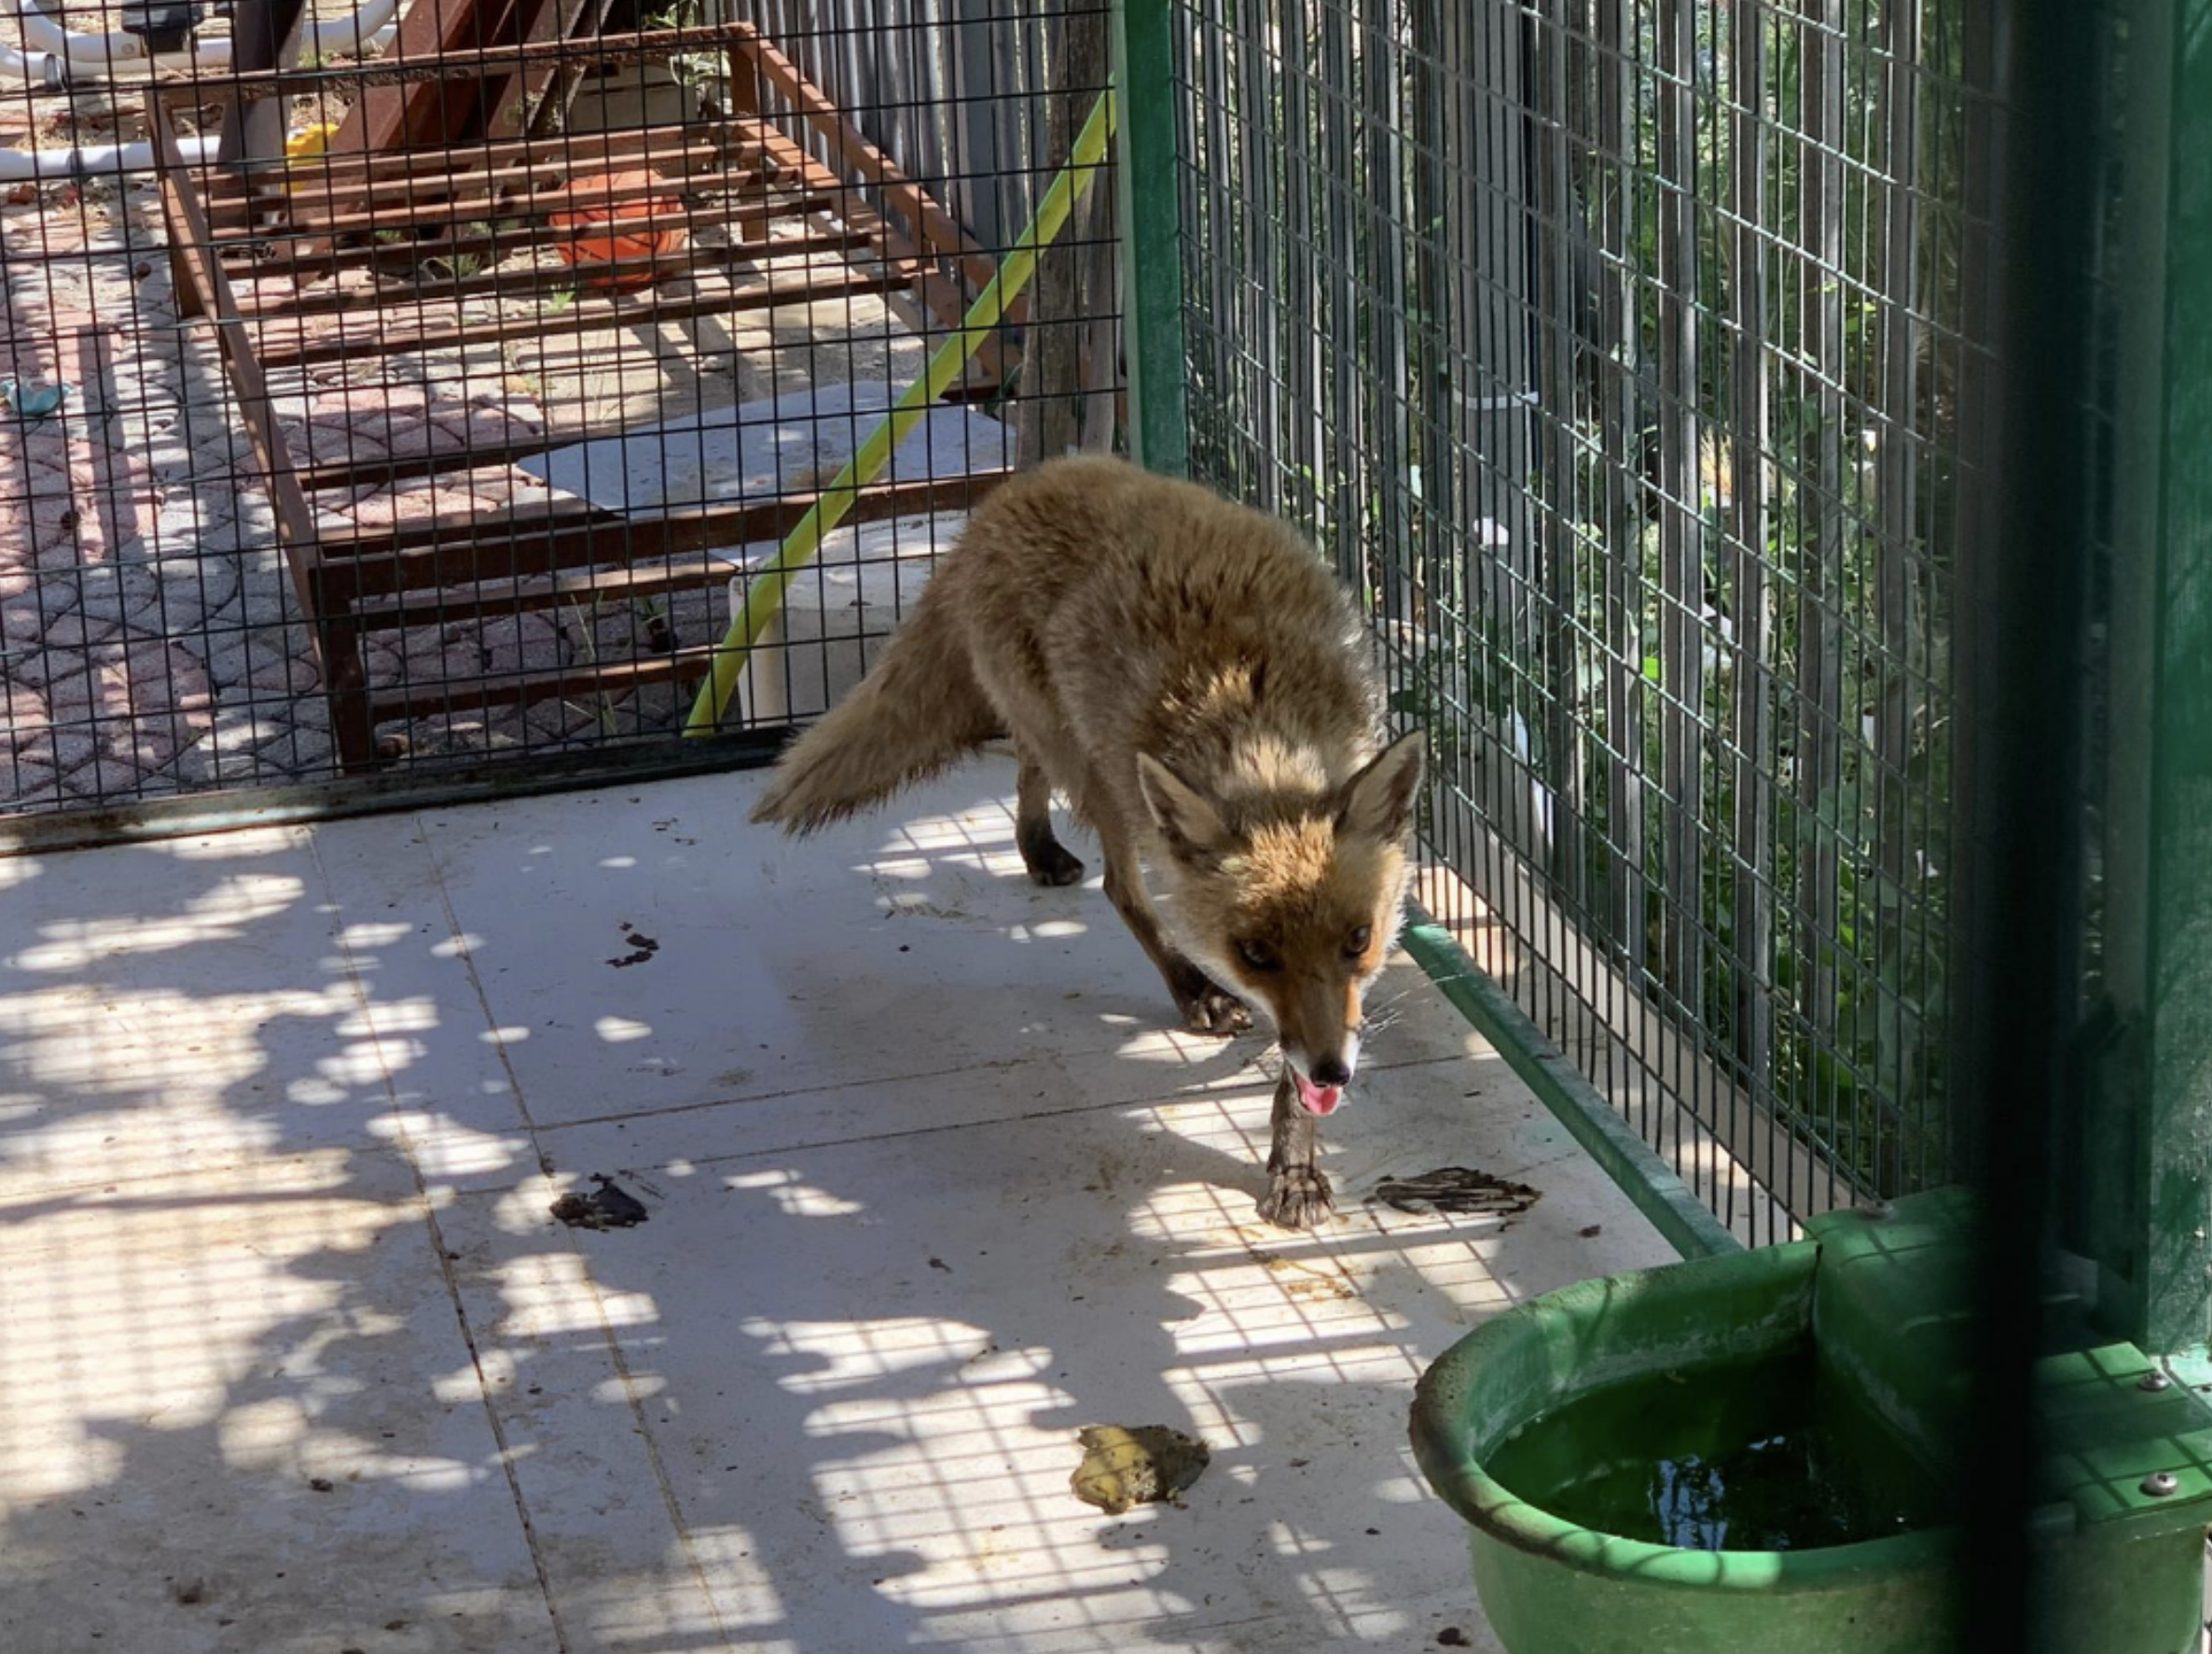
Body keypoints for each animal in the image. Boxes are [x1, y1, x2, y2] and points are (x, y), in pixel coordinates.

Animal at [752, 453, 1424, 1229]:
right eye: (1254, 954)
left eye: (1358, 940)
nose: (1332, 1070)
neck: (1260, 727)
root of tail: (1020, 486)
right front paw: (1292, 1152)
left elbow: (1296, 1071)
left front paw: (1295, 1164)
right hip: (1099, 770)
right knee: (1115, 882)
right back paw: (1187, 986)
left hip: (1070, 745)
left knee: (1025, 763)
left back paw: (1035, 845)